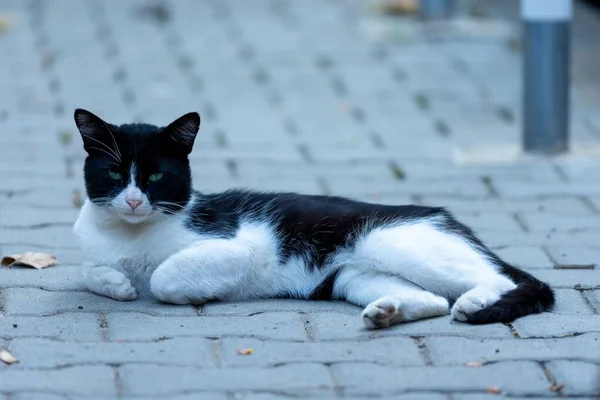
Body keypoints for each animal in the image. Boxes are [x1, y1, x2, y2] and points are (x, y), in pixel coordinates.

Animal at [72, 109, 556, 328]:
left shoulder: (239, 245)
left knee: (498, 278)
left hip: (391, 240)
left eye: (156, 176)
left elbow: (164, 277)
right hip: (351, 276)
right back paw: (388, 312)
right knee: (433, 299)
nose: (134, 201)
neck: (131, 235)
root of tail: (446, 217)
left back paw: (476, 301)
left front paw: (176, 284)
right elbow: (87, 270)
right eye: (114, 173)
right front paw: (114, 282)